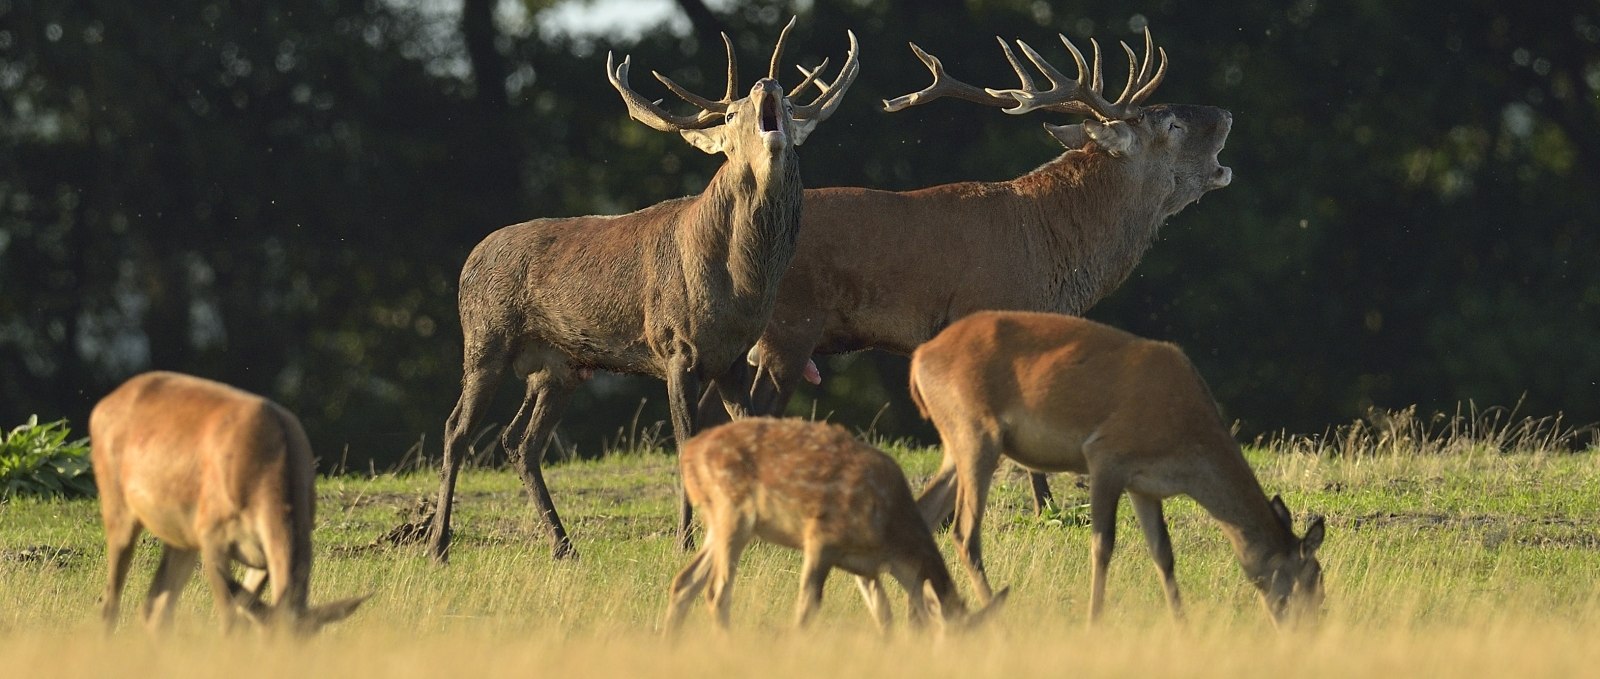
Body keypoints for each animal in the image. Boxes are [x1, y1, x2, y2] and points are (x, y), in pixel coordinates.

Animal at [92, 368, 368, 634]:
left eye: (309, 642)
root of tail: (100, 408)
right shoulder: (212, 533)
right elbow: (230, 621)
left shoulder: (259, 556)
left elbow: (245, 618)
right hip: (117, 505)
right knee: (111, 602)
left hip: (182, 536)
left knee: (155, 608)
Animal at [419, 21, 857, 563]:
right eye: (730, 114)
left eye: (792, 106)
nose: (765, 85)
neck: (741, 287)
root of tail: (468, 261)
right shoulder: (677, 347)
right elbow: (687, 443)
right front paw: (685, 543)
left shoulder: (732, 358)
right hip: (486, 339)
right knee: (456, 430)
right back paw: (438, 546)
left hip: (558, 366)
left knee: (520, 442)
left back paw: (564, 546)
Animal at [668, 416, 1004, 634]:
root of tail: (689, 456)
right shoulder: (822, 536)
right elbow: (807, 608)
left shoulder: (866, 567)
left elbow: (884, 617)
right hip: (733, 512)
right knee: (717, 591)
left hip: (719, 521)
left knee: (685, 581)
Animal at [908, 312, 1331, 624]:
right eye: (1313, 577)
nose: (1308, 628)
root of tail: (918, 360)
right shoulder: (1104, 456)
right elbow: (1102, 544)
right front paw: (1094, 620)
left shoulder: (1143, 485)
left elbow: (1163, 553)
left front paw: (1182, 625)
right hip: (976, 433)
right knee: (964, 533)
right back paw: (995, 617)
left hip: (955, 444)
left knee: (925, 513)